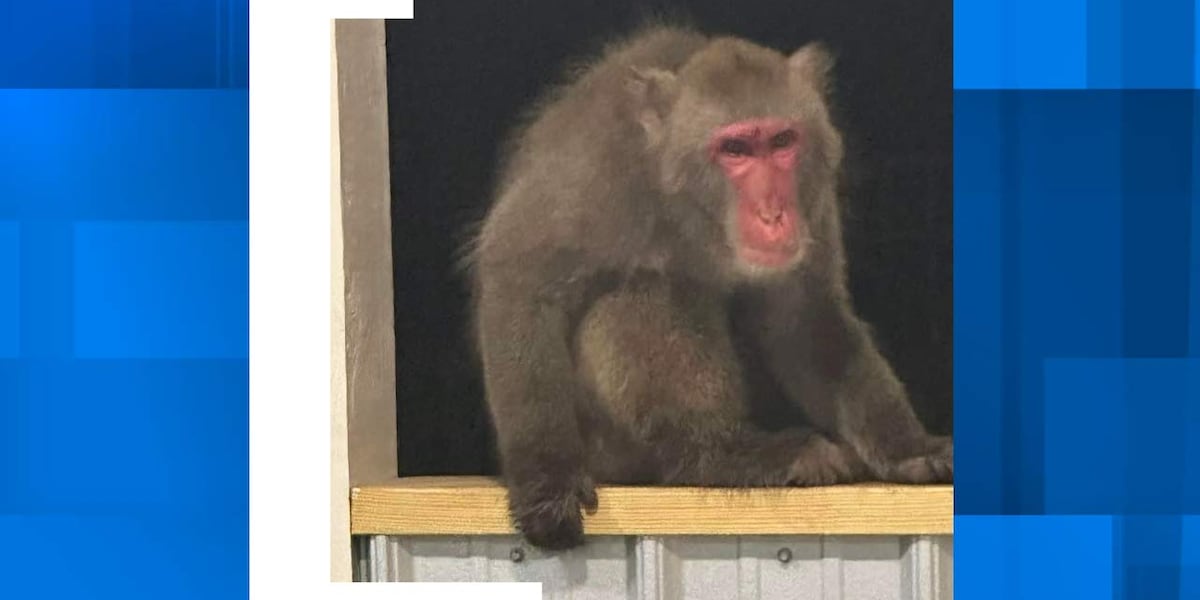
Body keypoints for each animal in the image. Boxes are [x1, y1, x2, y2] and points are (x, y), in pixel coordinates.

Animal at [465, 25, 953, 551]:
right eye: (735, 149)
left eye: (782, 141)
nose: (773, 214)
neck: (695, 214)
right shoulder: (593, 171)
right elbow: (519, 277)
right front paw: (545, 480)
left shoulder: (813, 196)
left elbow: (806, 317)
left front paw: (907, 446)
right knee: (646, 290)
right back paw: (722, 454)